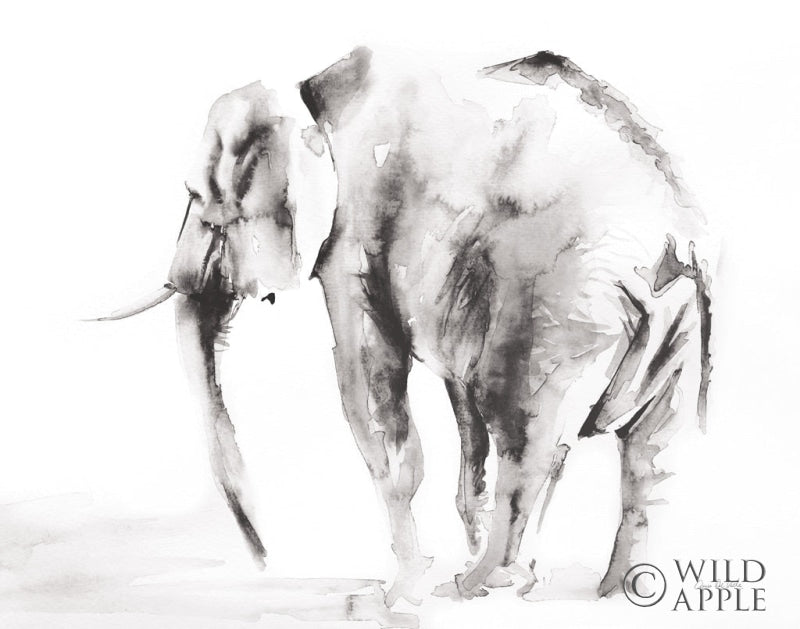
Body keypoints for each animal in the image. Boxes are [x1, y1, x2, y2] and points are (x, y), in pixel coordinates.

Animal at [96, 47, 715, 605]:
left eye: (199, 200)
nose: (263, 557)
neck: (311, 92)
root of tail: (669, 238)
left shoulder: (355, 230)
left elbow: (369, 379)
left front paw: (400, 596)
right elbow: (462, 410)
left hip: (557, 306)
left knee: (526, 432)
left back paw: (478, 585)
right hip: (685, 320)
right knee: (654, 451)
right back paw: (614, 591)